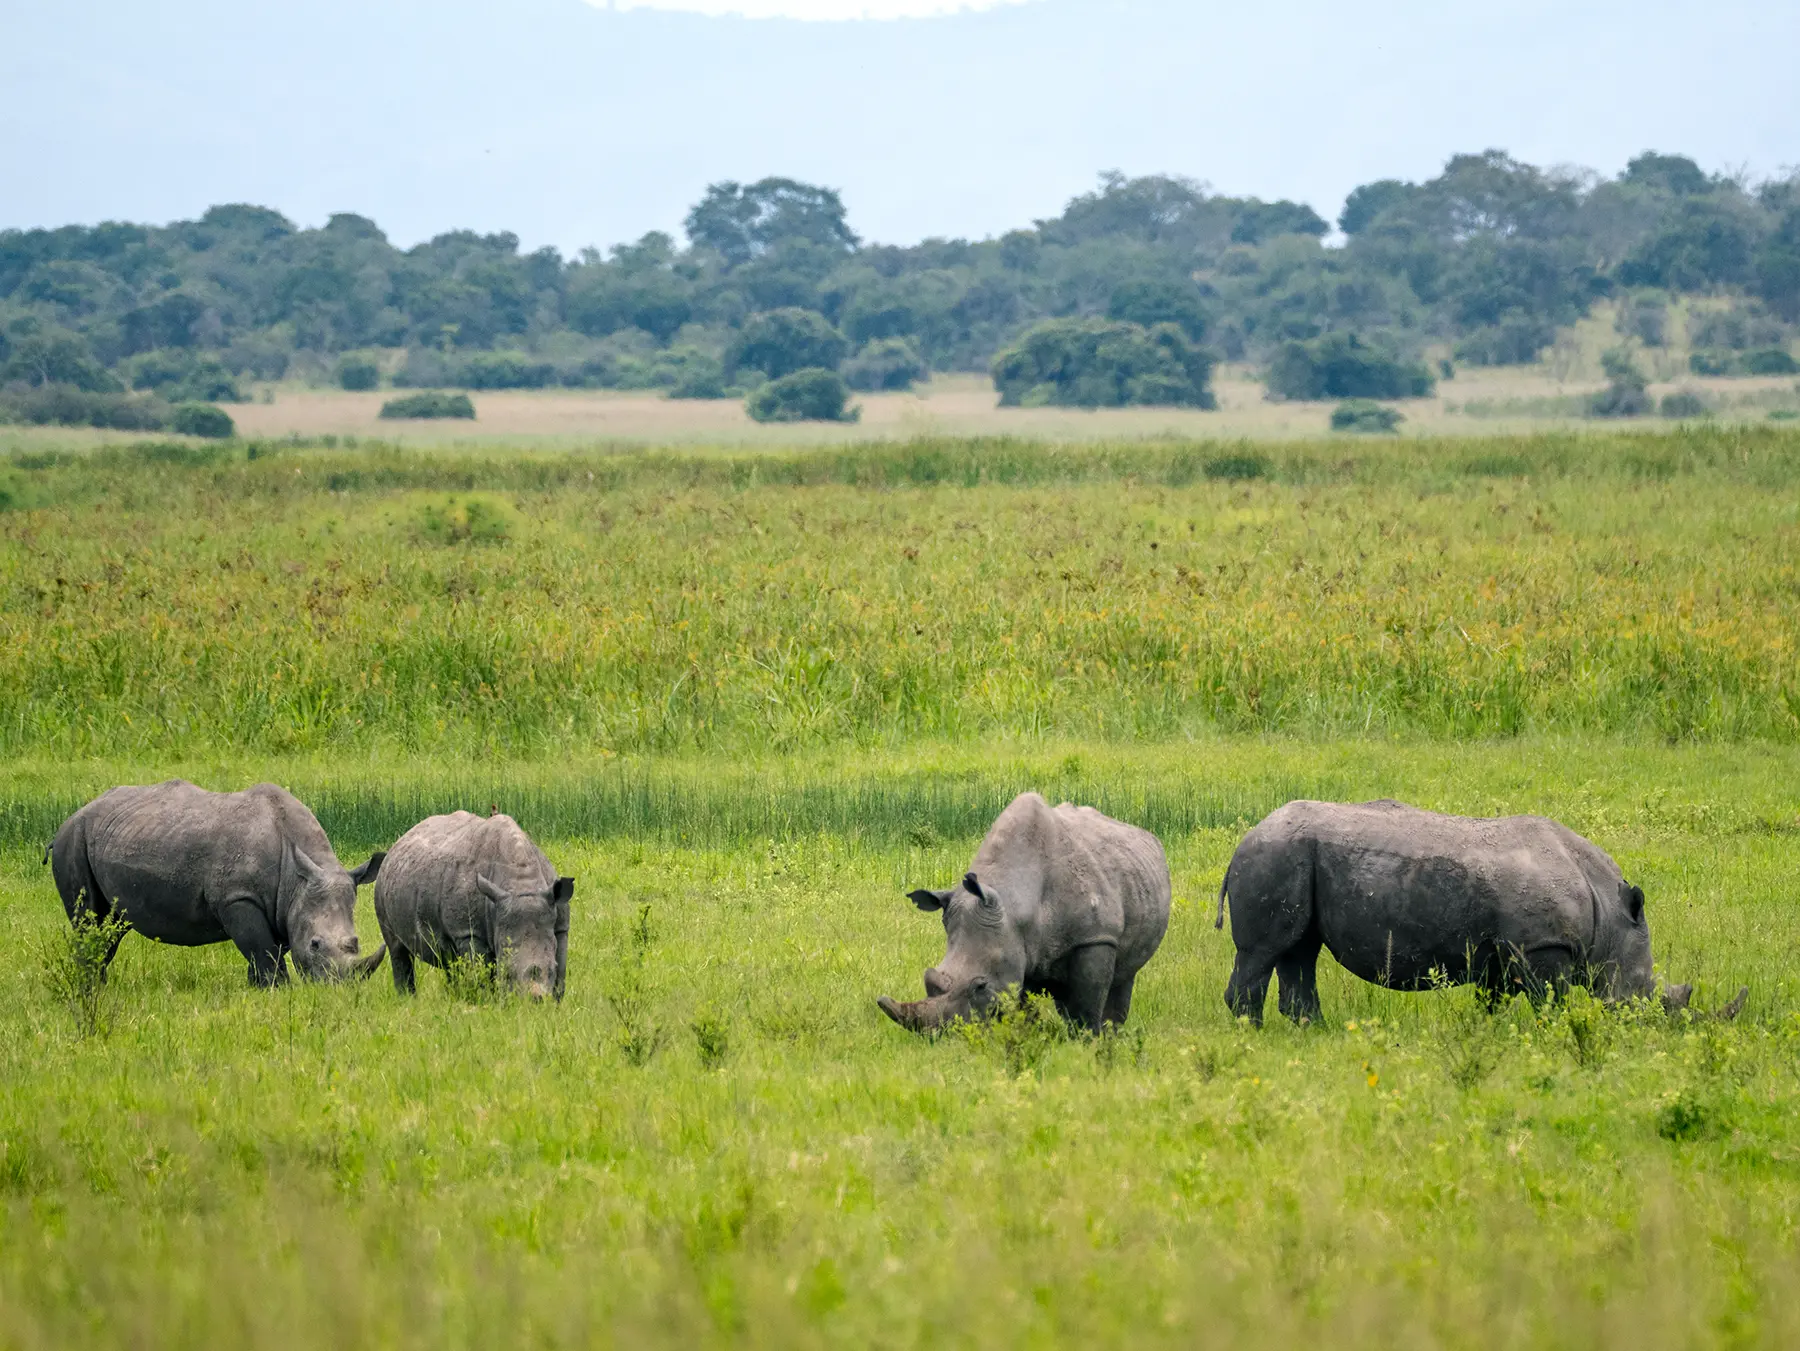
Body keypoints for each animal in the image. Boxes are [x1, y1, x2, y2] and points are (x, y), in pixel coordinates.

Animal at [48, 780, 387, 986]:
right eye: (315, 944)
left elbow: (265, 951)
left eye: (355, 942)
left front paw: (257, 990)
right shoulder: (238, 898)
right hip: (73, 839)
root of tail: (72, 815)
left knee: (111, 925)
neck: (296, 879)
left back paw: (98, 984)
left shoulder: (283, 905)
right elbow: (263, 952)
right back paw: (91, 987)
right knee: (88, 919)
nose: (337, 988)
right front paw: (279, 990)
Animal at [374, 811, 573, 1001]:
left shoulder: (560, 926)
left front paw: (555, 1000)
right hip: (382, 884)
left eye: (552, 969)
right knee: (397, 949)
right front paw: (488, 1001)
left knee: (449, 960)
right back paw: (408, 1000)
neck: (522, 885)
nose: (535, 1000)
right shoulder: (468, 931)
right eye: (507, 973)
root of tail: (400, 840)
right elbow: (481, 973)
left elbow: (562, 968)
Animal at [878, 792, 1171, 1035]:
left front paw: (1087, 1045)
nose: (940, 1035)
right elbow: (1022, 1007)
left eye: (981, 986)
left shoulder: (1095, 938)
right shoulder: (1015, 947)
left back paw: (1111, 1037)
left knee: (1123, 977)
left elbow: (1086, 1009)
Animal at [1217, 799, 1715, 1025]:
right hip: (1274, 856)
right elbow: (1550, 1003)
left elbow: (1492, 1002)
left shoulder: (1504, 952)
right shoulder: (1542, 947)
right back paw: (1253, 1032)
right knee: (1263, 952)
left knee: (1301, 949)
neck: (1608, 914)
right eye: (1650, 997)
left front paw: (1488, 1032)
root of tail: (1245, 836)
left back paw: (1314, 1031)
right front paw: (1555, 1035)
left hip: (1292, 857)